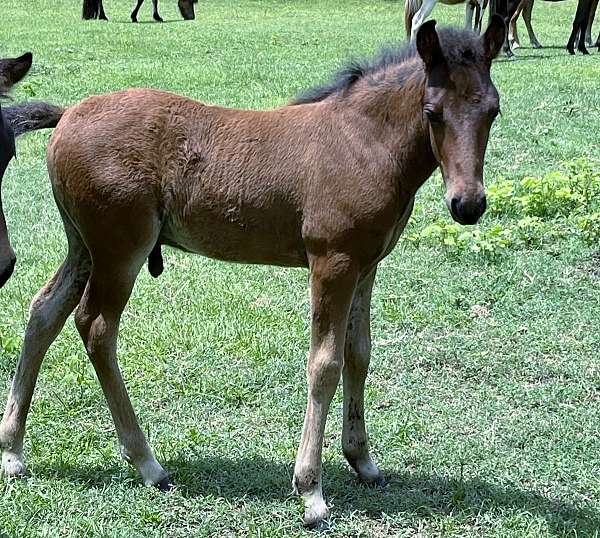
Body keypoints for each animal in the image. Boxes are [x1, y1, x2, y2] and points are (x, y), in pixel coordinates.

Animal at [1, 19, 506, 524]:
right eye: (432, 112)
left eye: (493, 111)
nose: (468, 204)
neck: (363, 142)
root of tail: (69, 113)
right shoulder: (332, 263)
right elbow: (325, 364)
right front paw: (310, 490)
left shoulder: (365, 267)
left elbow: (359, 354)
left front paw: (362, 461)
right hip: (120, 251)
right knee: (96, 327)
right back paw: (147, 463)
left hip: (85, 246)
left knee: (45, 311)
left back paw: (12, 451)